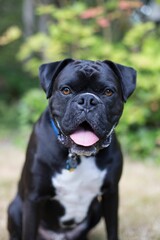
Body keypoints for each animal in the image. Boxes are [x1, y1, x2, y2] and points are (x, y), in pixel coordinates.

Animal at [7, 58, 136, 240]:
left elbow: (112, 229)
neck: (78, 156)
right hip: (15, 208)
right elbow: (29, 232)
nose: (87, 100)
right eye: (66, 90)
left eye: (108, 92)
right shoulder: (34, 198)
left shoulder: (111, 194)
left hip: (96, 208)